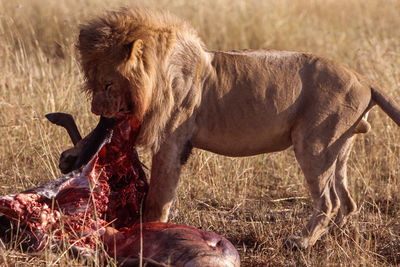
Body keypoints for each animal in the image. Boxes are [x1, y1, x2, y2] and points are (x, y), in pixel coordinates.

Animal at [67, 6, 400, 249]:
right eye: (91, 84)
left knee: (329, 201)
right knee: (347, 200)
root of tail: (364, 80)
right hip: (338, 148)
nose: (96, 109)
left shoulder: (171, 141)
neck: (156, 74)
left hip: (314, 144)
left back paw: (302, 241)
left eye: (108, 84)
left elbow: (159, 197)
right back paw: (332, 236)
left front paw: (150, 231)